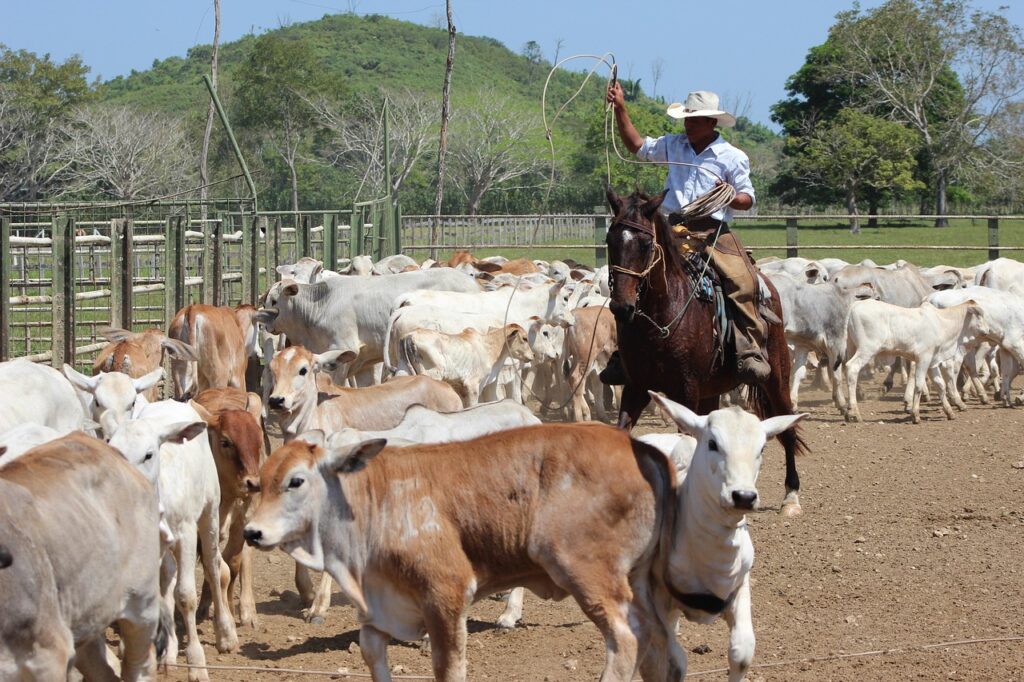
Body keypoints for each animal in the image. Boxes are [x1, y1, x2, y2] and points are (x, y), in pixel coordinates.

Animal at [604, 187, 807, 516]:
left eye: (646, 244)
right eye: (610, 240)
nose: (622, 307)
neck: (662, 315)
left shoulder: (685, 389)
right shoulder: (635, 387)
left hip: (776, 376)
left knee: (787, 426)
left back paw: (791, 497)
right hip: (712, 389)